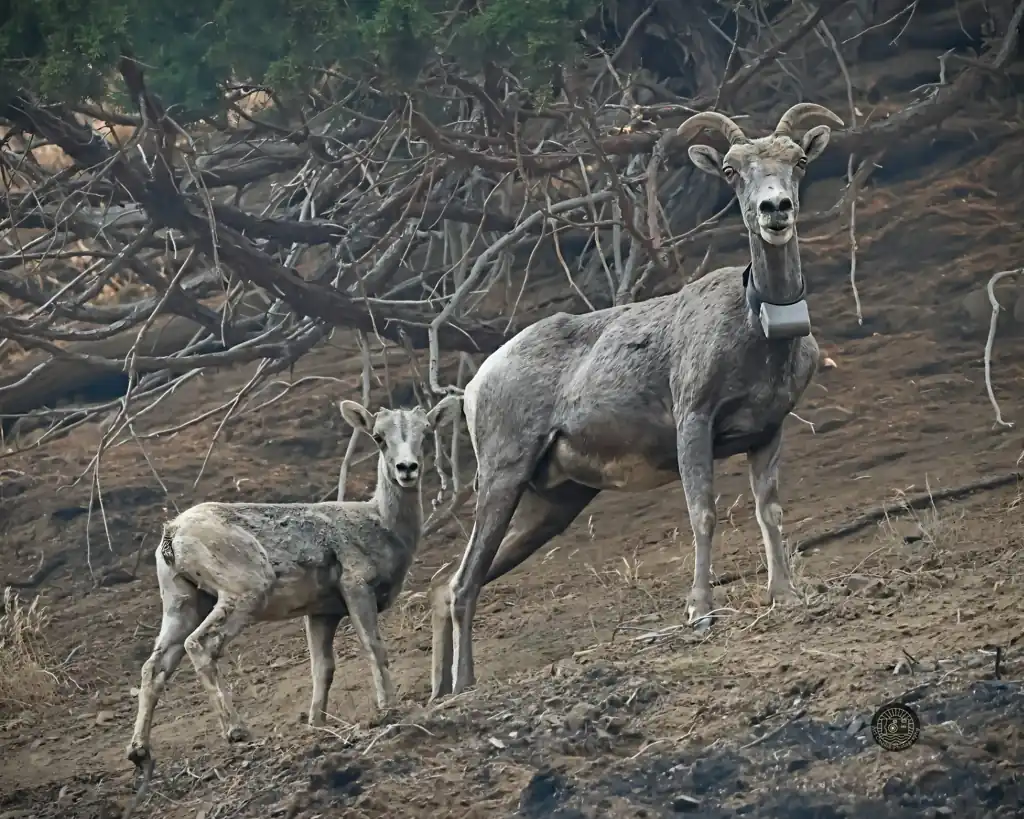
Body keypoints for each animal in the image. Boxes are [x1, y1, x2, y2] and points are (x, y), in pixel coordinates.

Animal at [126, 395, 460, 771]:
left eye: (426, 432)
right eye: (378, 437)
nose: (407, 468)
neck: (383, 527)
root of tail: (172, 536)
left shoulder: (321, 611)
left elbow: (322, 667)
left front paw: (316, 722)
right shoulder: (356, 584)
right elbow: (374, 646)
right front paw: (388, 706)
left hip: (181, 599)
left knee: (154, 665)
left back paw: (139, 751)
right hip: (244, 586)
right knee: (200, 644)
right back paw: (237, 731)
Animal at [429, 103, 844, 699]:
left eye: (799, 161)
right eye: (731, 170)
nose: (775, 209)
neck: (760, 330)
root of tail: (474, 386)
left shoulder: (767, 432)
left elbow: (769, 512)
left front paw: (784, 597)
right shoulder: (694, 422)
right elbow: (703, 514)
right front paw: (699, 613)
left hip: (553, 502)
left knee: (448, 584)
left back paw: (440, 690)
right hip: (503, 477)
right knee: (463, 583)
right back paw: (464, 685)